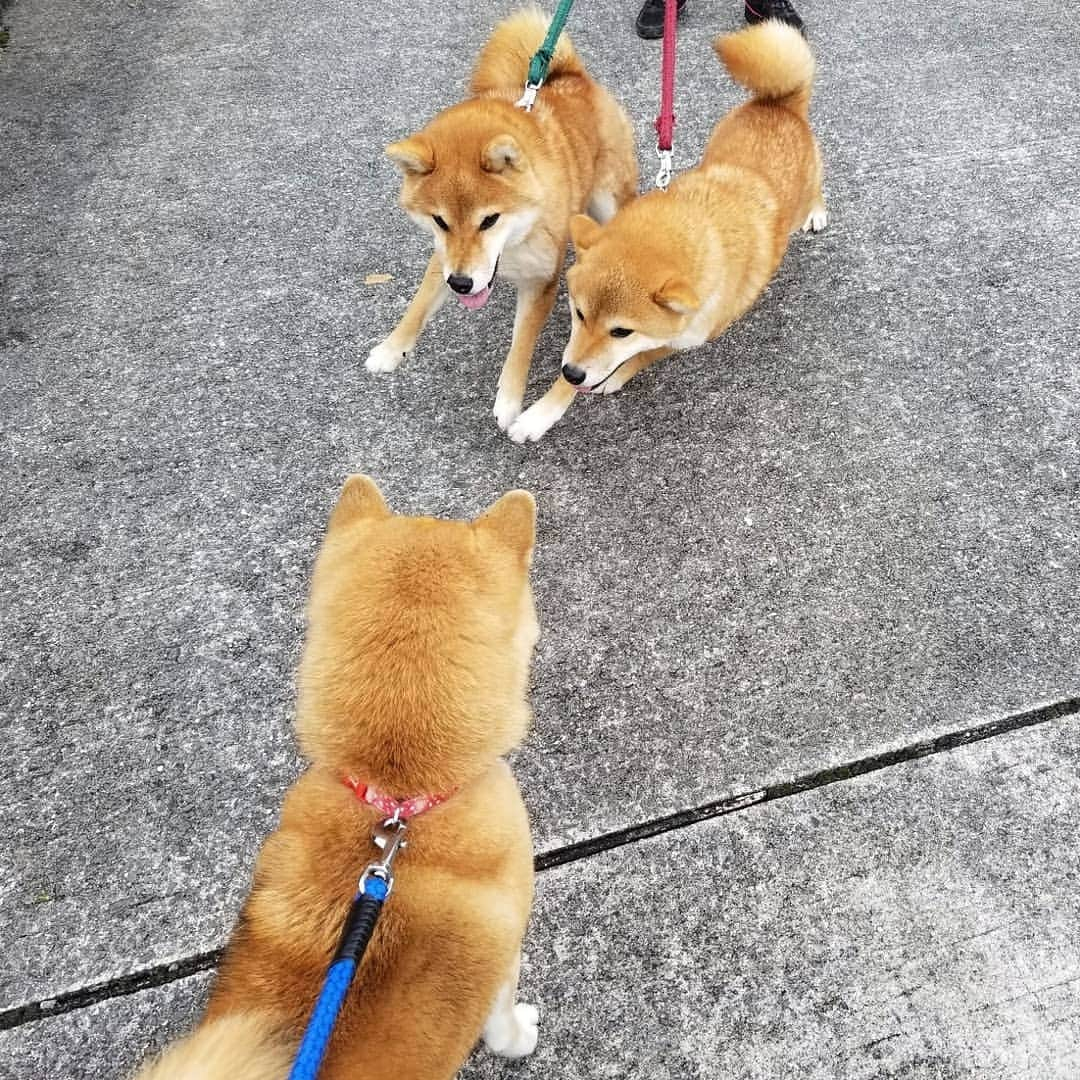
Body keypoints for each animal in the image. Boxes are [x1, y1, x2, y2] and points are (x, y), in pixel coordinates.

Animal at [367, 7, 635, 434]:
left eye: (489, 220)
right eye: (440, 221)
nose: (462, 285)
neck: (511, 245)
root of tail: (573, 78)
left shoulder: (541, 280)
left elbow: (521, 343)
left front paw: (509, 402)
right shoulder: (446, 259)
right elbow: (419, 304)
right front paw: (392, 348)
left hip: (608, 199)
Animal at [505, 17, 825, 438]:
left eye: (621, 331)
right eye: (579, 314)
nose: (573, 372)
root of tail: (783, 105)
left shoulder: (691, 334)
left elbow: (641, 356)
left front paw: (607, 380)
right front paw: (541, 412)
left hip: (805, 188)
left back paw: (817, 211)